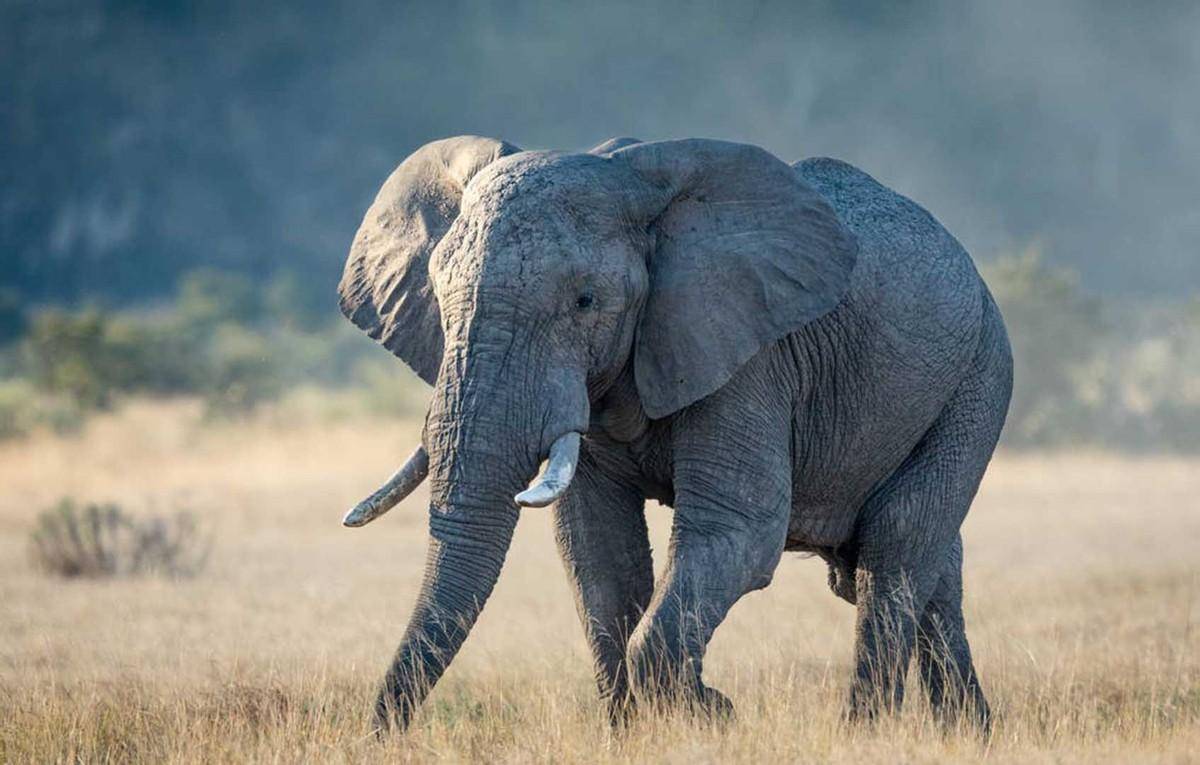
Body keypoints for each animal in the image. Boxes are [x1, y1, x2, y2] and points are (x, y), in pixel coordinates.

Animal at [338, 134, 1012, 733]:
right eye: (439, 299)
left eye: (586, 301)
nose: (380, 736)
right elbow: (601, 555)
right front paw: (638, 732)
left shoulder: (751, 357)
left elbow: (738, 532)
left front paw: (715, 712)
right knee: (926, 567)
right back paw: (968, 733)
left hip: (978, 378)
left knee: (894, 550)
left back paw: (865, 734)